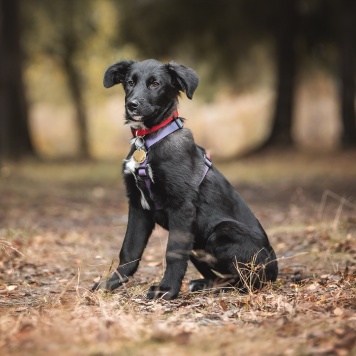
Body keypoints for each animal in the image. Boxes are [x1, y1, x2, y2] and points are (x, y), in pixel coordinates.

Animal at [92, 59, 278, 298]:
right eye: (130, 82)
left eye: (155, 84)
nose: (131, 105)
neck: (149, 141)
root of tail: (275, 271)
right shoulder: (137, 206)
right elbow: (129, 250)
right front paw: (110, 283)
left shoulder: (182, 206)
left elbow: (173, 252)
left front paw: (167, 290)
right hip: (197, 244)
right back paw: (202, 284)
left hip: (223, 231)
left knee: (246, 282)